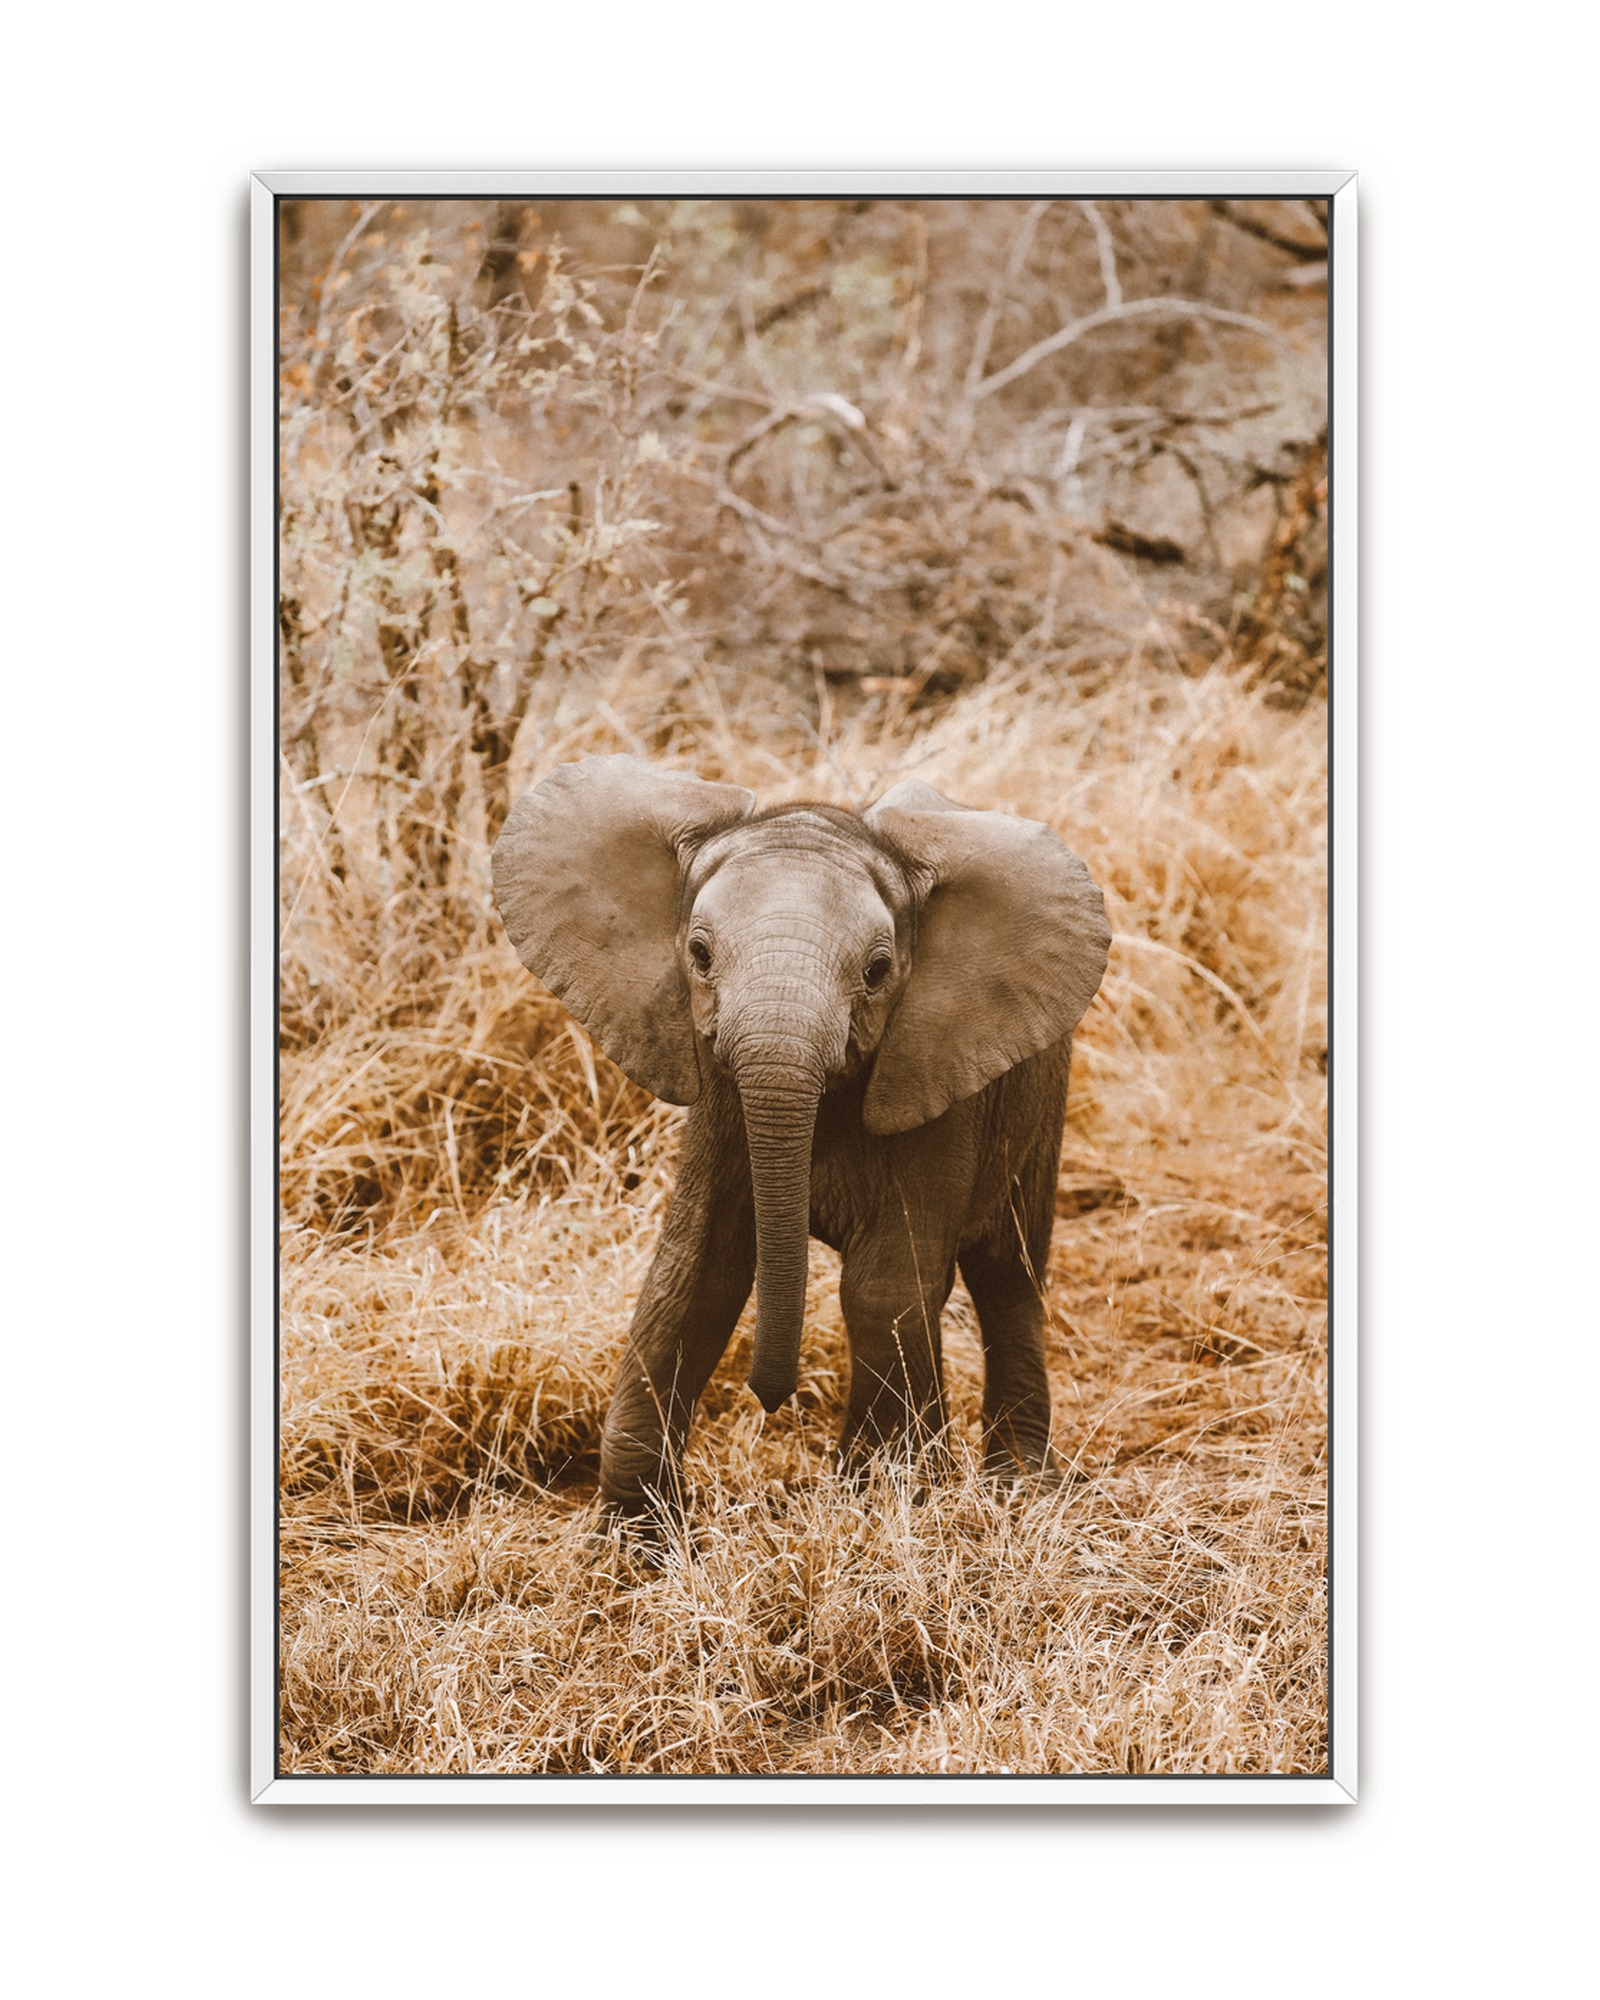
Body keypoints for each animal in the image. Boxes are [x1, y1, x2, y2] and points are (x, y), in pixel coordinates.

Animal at [491, 754, 1111, 1521]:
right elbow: (694, 1273)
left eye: (877, 972)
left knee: (1009, 1275)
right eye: (699, 954)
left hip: (1040, 1097)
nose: (770, 1399)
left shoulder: (935, 1074)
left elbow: (884, 1284)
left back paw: (1020, 1484)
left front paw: (883, 1497)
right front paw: (637, 1536)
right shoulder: (721, 1097)